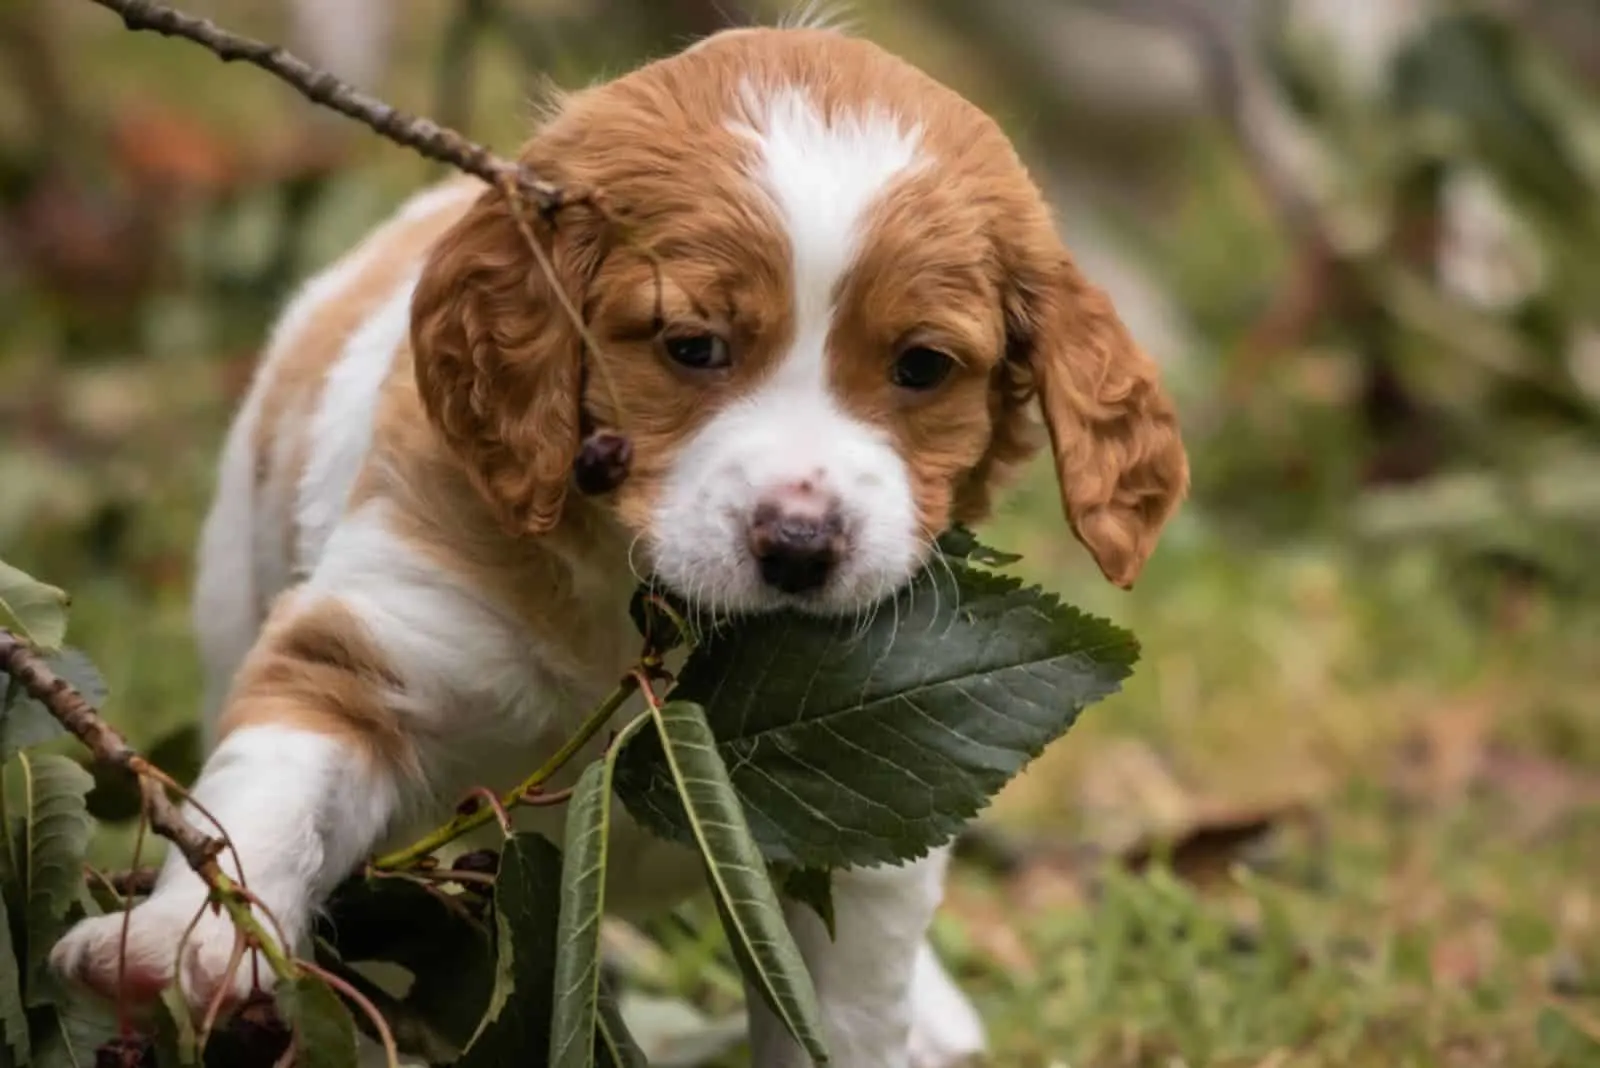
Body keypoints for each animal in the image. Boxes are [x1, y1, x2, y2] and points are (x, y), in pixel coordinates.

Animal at [50, 24, 1190, 1068]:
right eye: (691, 347)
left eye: (920, 367)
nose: (799, 545)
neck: (635, 612)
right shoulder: (371, 649)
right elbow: (264, 799)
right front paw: (185, 943)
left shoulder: (860, 850)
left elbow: (847, 1009)